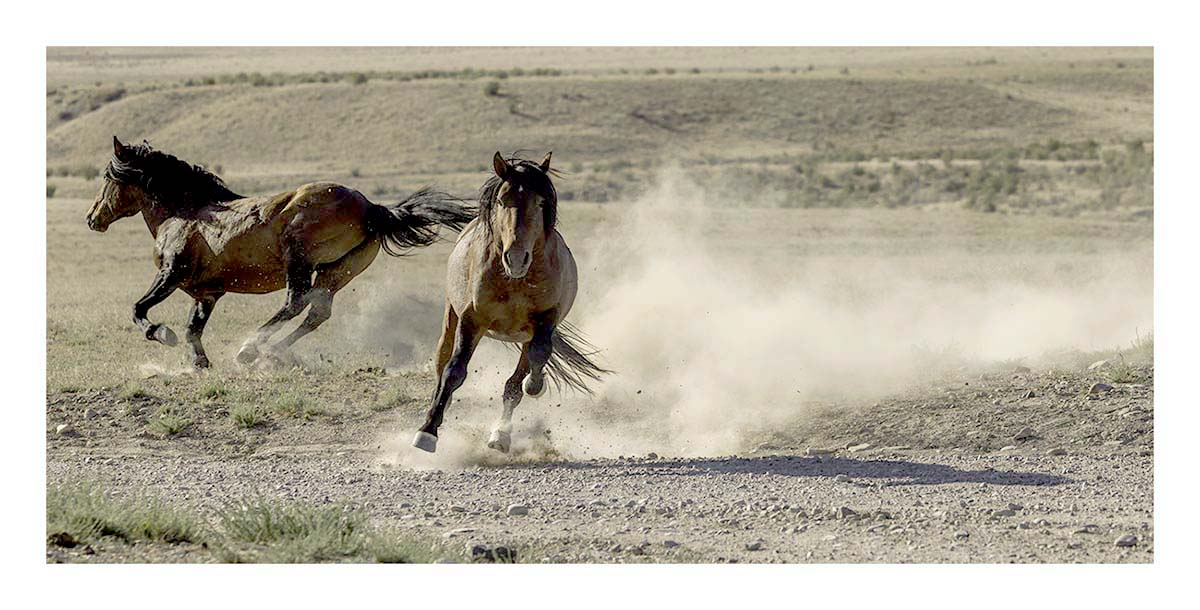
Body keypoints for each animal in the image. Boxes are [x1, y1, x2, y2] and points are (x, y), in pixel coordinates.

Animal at [86, 137, 476, 369]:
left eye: (108, 178)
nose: (92, 218)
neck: (186, 211)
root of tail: (371, 208)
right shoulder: (207, 293)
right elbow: (193, 329)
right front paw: (199, 364)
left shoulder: (170, 274)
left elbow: (140, 309)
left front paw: (161, 334)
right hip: (339, 271)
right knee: (317, 311)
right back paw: (272, 352)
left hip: (299, 260)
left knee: (296, 301)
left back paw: (250, 349)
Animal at [412, 152, 610, 454]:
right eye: (503, 200)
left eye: (540, 202)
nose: (516, 258)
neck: (515, 280)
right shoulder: (472, 320)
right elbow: (454, 371)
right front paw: (427, 432)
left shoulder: (545, 320)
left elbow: (534, 362)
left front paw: (534, 385)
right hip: (451, 317)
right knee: (442, 363)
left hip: (525, 335)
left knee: (515, 383)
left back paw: (500, 435)